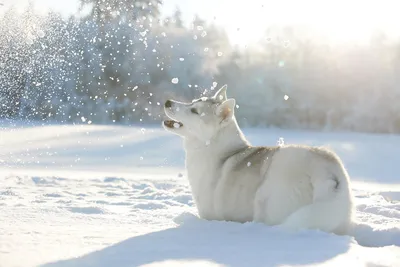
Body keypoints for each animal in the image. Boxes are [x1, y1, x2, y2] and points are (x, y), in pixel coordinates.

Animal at [162, 85, 354, 236]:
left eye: (194, 111)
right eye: (192, 102)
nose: (168, 102)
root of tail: (325, 170)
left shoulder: (209, 215)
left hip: (267, 199)